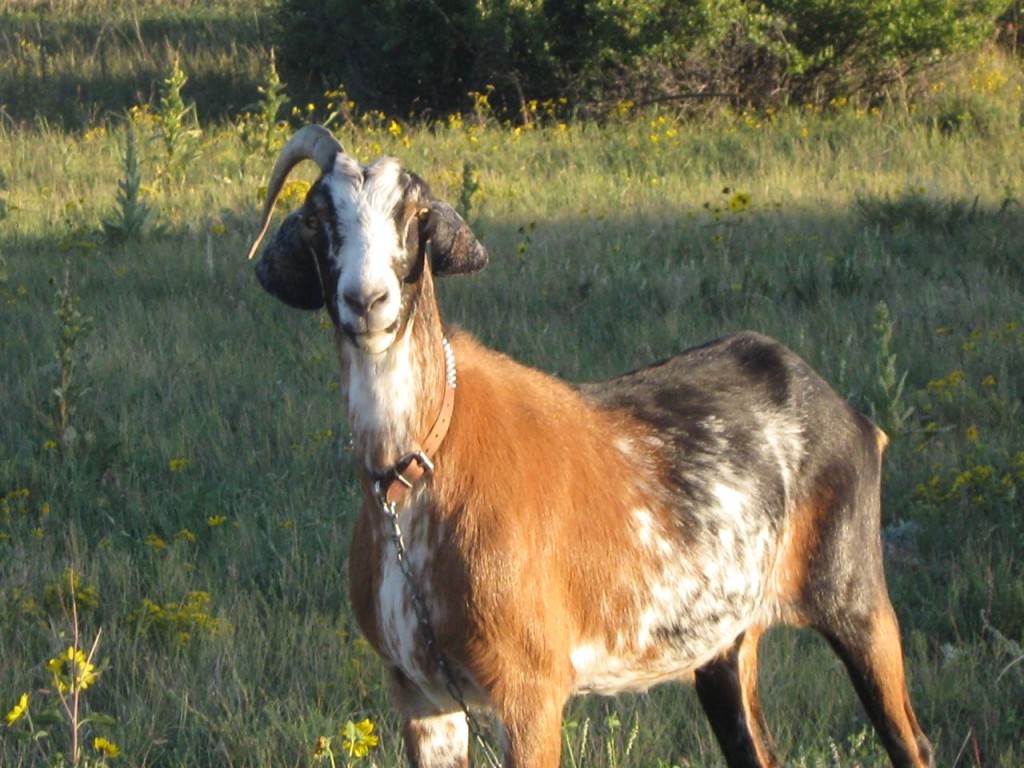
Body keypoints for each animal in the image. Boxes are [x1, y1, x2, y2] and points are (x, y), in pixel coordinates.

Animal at [247, 126, 937, 768]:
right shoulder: (420, 693)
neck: (417, 470)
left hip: (856, 597)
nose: (367, 301)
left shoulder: (529, 689)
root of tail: (846, 412)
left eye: (414, 215)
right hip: (726, 643)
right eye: (317, 218)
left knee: (912, 741)